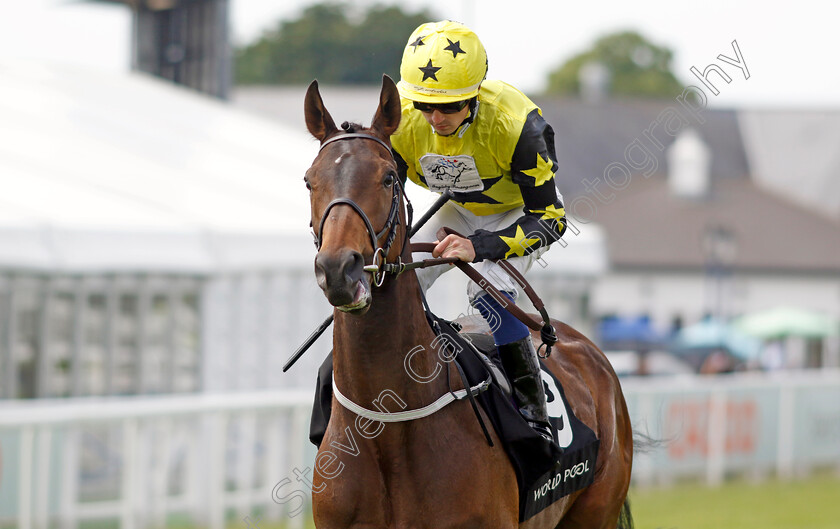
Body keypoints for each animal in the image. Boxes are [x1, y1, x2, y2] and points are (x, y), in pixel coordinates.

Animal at [302, 75, 632, 528]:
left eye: (388, 179)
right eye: (309, 180)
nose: (339, 270)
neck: (388, 425)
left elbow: (547, 215)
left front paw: (463, 248)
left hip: (595, 511)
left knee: (494, 295)